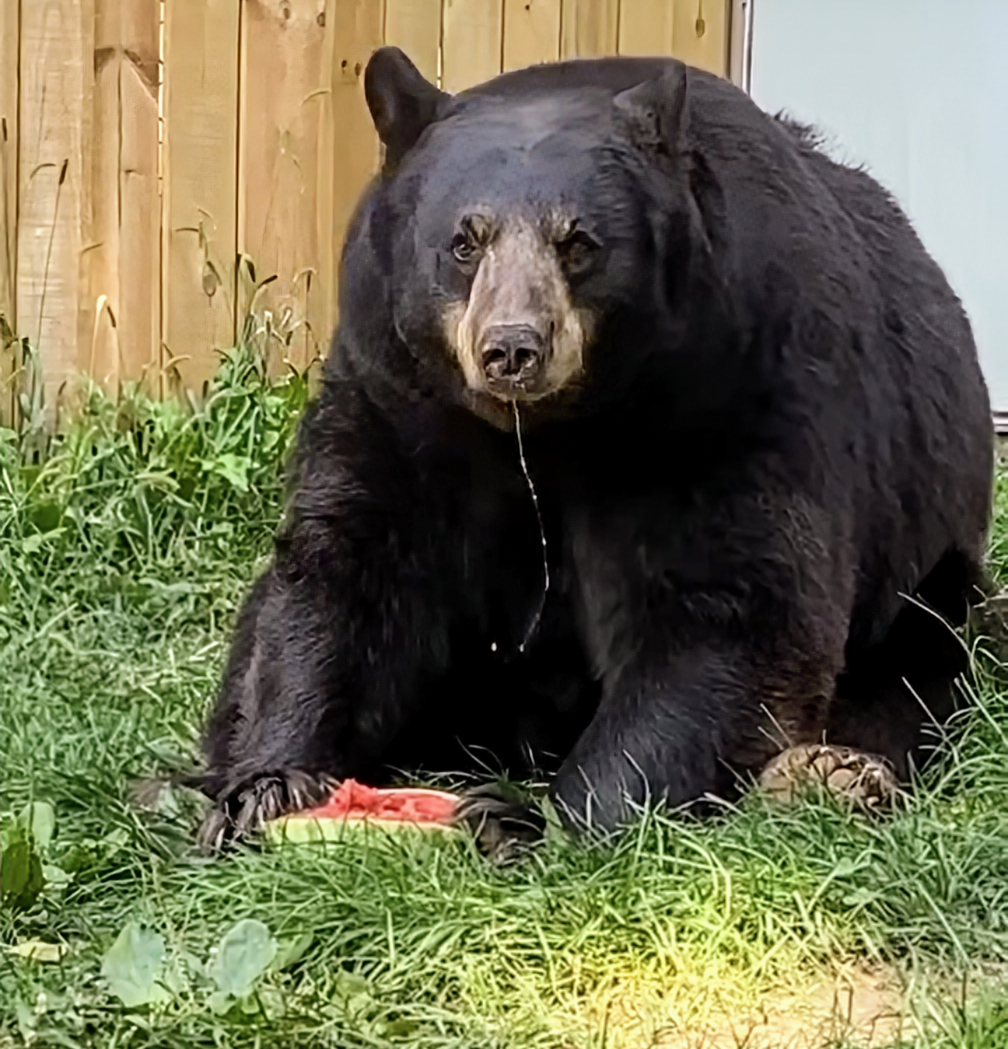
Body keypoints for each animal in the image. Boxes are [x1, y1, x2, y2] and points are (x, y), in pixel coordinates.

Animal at [194, 47, 993, 849]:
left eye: (577, 243)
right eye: (464, 241)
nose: (512, 348)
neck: (544, 431)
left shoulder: (732, 391)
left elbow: (728, 610)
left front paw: (530, 817)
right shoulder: (395, 394)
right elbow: (353, 566)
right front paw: (266, 785)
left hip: (926, 566)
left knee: (917, 664)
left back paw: (829, 774)